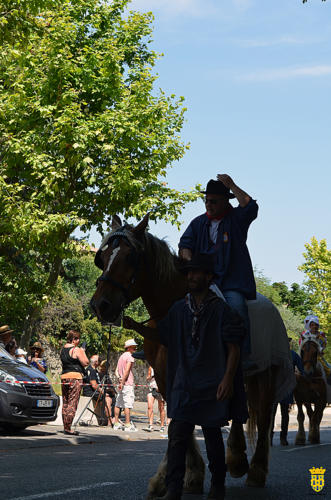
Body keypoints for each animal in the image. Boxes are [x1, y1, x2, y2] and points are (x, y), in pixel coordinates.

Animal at [91, 214, 296, 496]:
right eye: (102, 257)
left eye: (130, 257)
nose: (101, 305)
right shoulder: (166, 378)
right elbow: (178, 424)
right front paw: (186, 475)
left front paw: (177, 475)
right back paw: (236, 456)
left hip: (266, 375)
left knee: (264, 416)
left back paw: (254, 469)